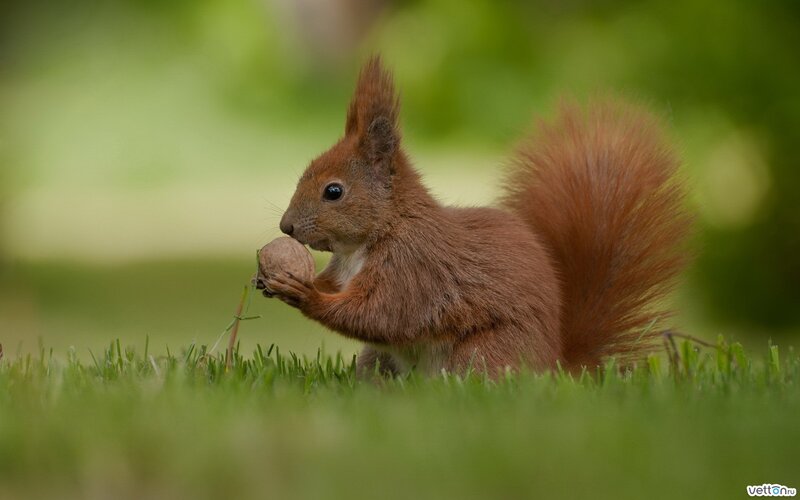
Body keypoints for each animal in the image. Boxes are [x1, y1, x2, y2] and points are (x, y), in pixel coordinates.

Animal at [259, 56, 691, 376]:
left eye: (334, 191)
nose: (286, 227)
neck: (367, 241)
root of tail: (555, 364)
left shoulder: (415, 268)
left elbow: (380, 315)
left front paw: (305, 294)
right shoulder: (347, 269)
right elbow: (341, 291)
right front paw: (274, 280)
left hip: (483, 353)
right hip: (378, 360)